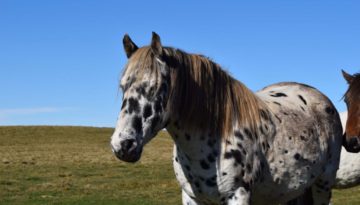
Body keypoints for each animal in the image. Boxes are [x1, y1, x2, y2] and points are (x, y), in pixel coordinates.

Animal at [109, 32, 344, 204]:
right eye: (123, 87)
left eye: (157, 87)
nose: (123, 145)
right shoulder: (191, 197)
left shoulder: (237, 195)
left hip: (322, 186)